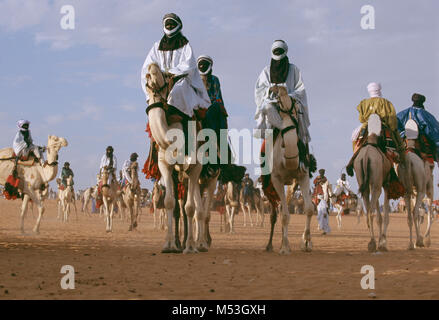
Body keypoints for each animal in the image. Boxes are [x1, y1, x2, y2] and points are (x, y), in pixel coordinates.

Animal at [262, 85, 314, 255]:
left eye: (296, 106)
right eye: (278, 107)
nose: (279, 88)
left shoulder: (303, 176)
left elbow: (309, 209)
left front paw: (306, 243)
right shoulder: (277, 179)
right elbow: (284, 215)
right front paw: (284, 247)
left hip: (292, 183)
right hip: (268, 187)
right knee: (274, 213)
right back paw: (270, 245)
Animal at [352, 115, 394, 252]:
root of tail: (366, 156)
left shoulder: (374, 182)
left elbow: (379, 216)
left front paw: (381, 241)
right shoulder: (385, 183)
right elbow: (385, 213)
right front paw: (383, 242)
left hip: (363, 179)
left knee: (368, 210)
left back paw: (371, 242)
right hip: (377, 184)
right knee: (371, 210)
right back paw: (374, 243)